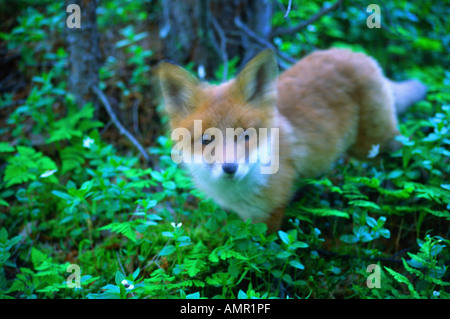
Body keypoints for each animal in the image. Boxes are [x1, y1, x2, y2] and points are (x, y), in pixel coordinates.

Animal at [158, 48, 426, 234]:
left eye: (246, 136)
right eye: (207, 140)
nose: (230, 168)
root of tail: (358, 54)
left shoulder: (271, 212)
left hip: (375, 142)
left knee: (407, 150)